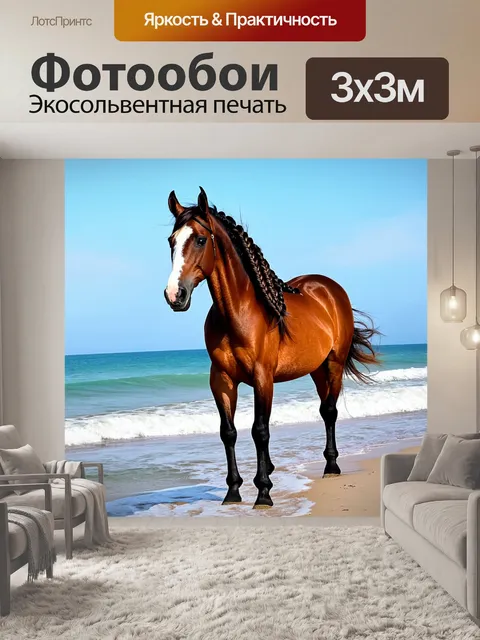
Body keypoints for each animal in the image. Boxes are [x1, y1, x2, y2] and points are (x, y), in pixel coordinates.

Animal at [164, 187, 380, 509]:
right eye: (171, 241)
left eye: (201, 239)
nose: (174, 295)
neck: (238, 313)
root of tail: (330, 288)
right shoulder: (222, 379)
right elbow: (228, 432)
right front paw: (233, 491)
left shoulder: (262, 377)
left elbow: (260, 430)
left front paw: (263, 492)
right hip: (316, 370)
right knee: (323, 409)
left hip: (333, 365)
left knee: (329, 411)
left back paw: (331, 466)